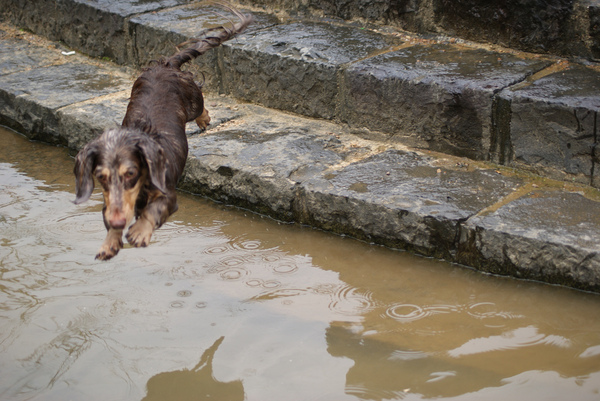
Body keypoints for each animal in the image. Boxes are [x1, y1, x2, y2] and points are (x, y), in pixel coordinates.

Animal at [74, 4, 252, 260]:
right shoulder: (110, 204)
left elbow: (154, 210)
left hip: (191, 99)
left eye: (131, 173)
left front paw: (139, 232)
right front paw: (109, 244)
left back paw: (204, 119)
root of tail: (166, 64)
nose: (119, 220)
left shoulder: (168, 195)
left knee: (200, 103)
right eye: (101, 177)